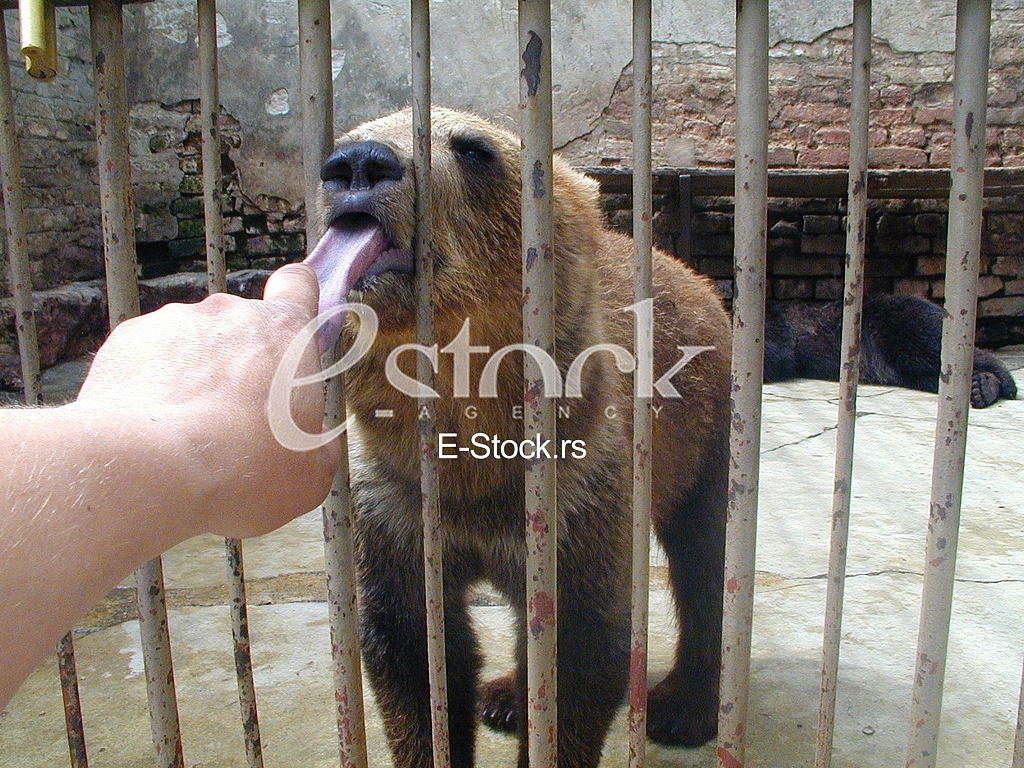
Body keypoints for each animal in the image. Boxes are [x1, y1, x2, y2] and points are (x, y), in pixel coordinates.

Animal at [304, 106, 732, 768]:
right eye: (348, 135)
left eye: (473, 149)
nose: (359, 164)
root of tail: (687, 271)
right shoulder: (394, 500)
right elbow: (412, 653)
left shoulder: (580, 488)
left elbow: (578, 651)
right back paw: (503, 695)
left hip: (703, 433)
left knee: (702, 555)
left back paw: (683, 707)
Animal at [764, 295, 1017, 408]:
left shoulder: (776, 326)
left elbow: (778, 353)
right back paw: (982, 387)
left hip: (902, 321)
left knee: (935, 347)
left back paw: (998, 381)